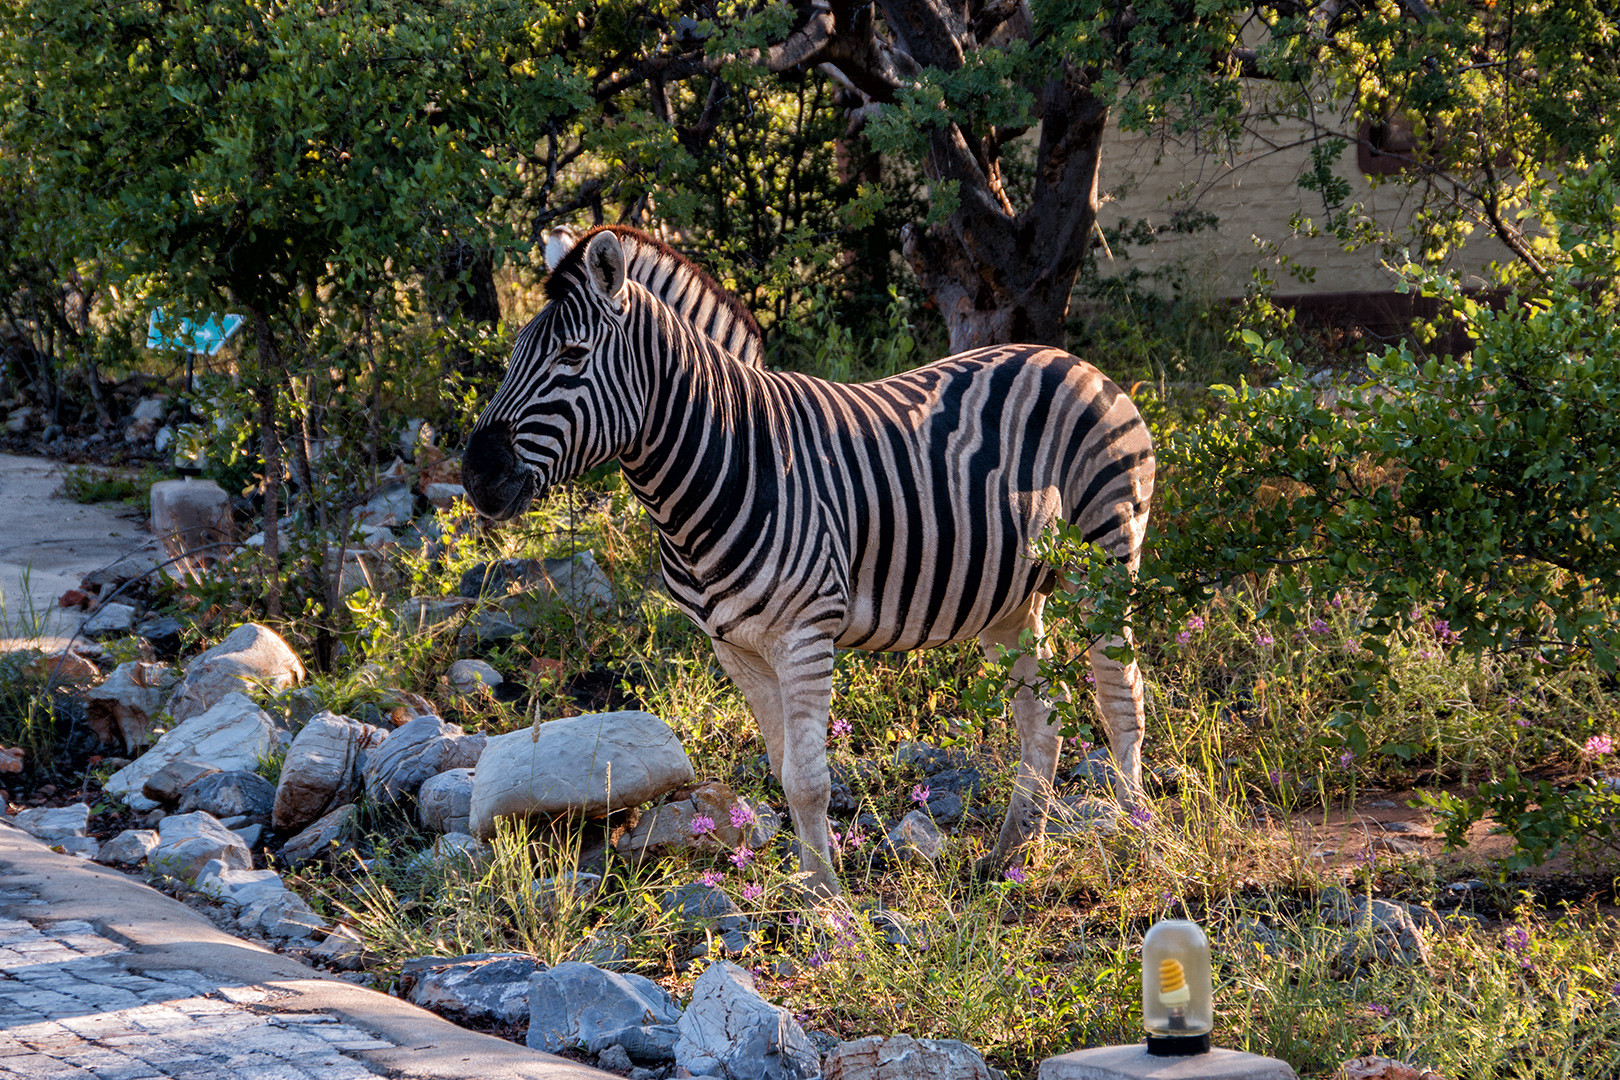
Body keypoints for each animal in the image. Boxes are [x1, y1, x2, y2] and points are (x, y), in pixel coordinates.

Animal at [463, 226, 1159, 893]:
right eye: (514, 355)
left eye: (572, 357)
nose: (476, 476)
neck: (724, 461)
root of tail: (1071, 359)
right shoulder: (733, 646)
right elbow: (782, 769)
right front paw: (808, 886)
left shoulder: (804, 635)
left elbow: (807, 779)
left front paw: (829, 905)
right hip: (1009, 596)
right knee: (1042, 716)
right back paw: (1012, 853)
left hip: (1105, 555)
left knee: (1119, 691)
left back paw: (1133, 834)